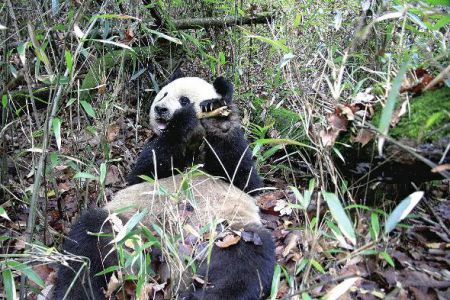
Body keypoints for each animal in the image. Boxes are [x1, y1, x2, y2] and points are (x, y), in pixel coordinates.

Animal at [54, 77, 276, 298]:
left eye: (184, 100)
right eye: (163, 94)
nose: (160, 109)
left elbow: (246, 180)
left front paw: (217, 119)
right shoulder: (152, 160)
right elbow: (145, 171)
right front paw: (181, 123)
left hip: (226, 233)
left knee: (244, 263)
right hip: (128, 225)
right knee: (89, 246)